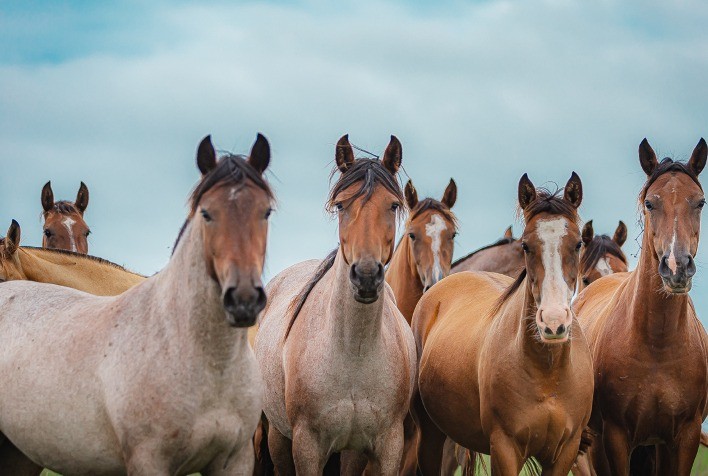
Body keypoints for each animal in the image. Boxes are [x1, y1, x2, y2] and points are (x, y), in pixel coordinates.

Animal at [254, 135, 418, 476]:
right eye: (341, 204)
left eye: (393, 205)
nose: (366, 276)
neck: (353, 353)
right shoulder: (307, 446)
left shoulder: (386, 446)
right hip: (278, 437)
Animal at [412, 173, 596, 474]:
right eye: (525, 245)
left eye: (578, 244)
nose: (553, 322)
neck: (548, 373)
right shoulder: (505, 448)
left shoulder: (565, 452)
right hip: (430, 435)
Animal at [576, 139, 708, 476]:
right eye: (650, 203)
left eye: (700, 202)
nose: (677, 267)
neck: (657, 345)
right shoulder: (615, 438)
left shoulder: (683, 439)